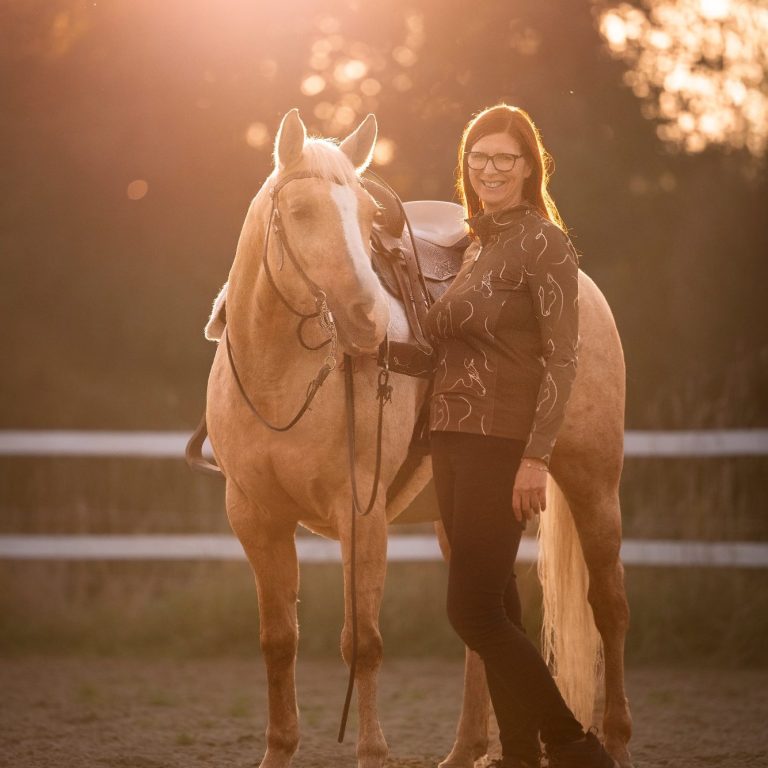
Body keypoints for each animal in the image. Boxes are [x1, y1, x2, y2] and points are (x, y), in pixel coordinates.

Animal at [201, 109, 632, 768]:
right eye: (300, 212)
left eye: (364, 214)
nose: (367, 321)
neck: (281, 377)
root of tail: (583, 283)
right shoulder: (255, 517)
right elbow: (278, 640)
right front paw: (278, 750)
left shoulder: (362, 516)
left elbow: (363, 643)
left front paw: (372, 752)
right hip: (465, 517)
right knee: (487, 624)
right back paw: (469, 749)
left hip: (593, 484)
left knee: (608, 606)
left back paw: (615, 739)